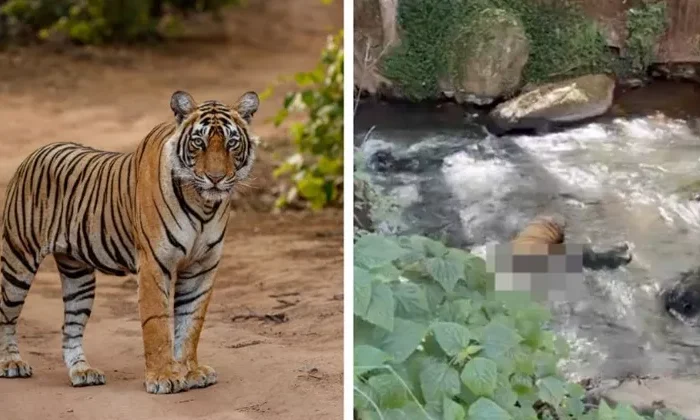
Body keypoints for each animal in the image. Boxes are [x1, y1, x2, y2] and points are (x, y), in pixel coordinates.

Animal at [0, 90, 259, 394]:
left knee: (70, 329)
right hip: (18, 261)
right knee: (6, 315)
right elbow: (156, 321)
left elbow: (191, 322)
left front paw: (191, 371)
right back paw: (11, 363)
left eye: (232, 143)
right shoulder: (154, 263)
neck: (203, 205)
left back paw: (82, 371)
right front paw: (163, 377)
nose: (216, 179)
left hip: (78, 277)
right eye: (199, 142)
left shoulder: (202, 266)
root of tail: (36, 152)